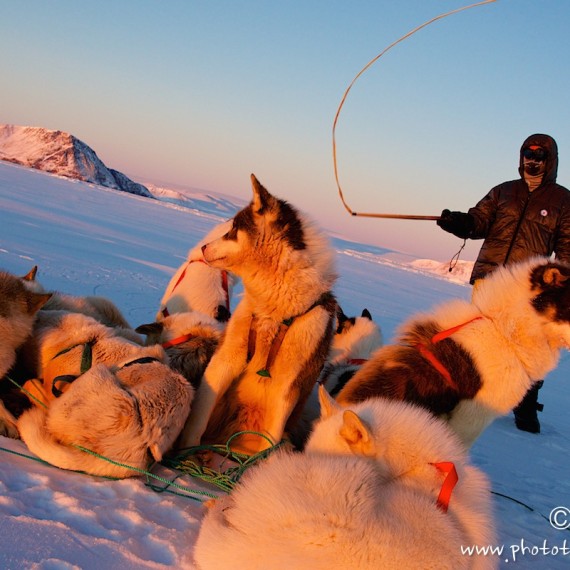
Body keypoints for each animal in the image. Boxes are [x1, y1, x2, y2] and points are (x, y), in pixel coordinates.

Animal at [179, 173, 338, 452]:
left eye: (233, 230)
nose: (204, 247)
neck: (272, 312)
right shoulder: (226, 359)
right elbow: (199, 414)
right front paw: (185, 450)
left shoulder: (289, 385)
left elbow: (271, 436)